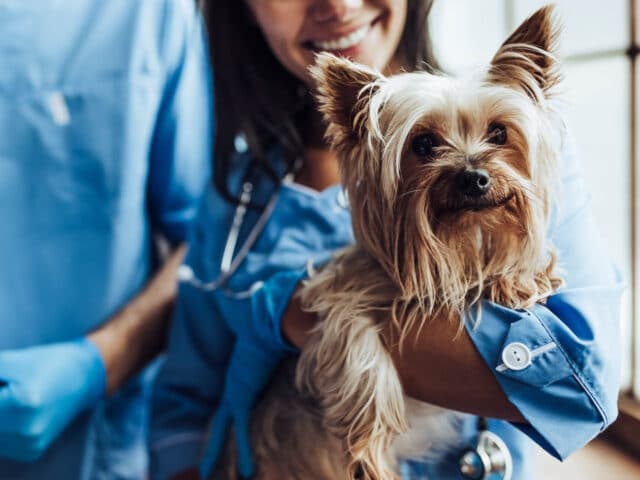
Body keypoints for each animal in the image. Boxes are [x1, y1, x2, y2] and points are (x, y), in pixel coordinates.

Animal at [218, 4, 564, 480]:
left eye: (498, 133)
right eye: (423, 143)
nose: (474, 177)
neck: (454, 244)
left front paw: (518, 277)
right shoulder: (335, 295)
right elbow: (358, 347)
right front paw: (367, 444)